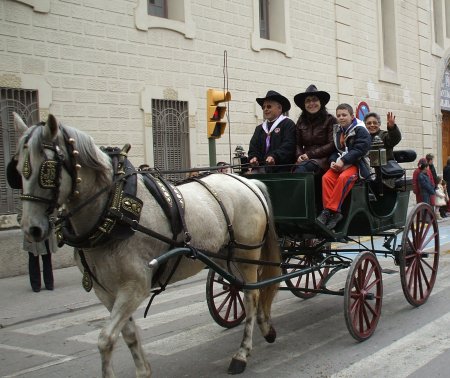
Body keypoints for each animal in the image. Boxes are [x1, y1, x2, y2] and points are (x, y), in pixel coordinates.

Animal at [13, 113, 282, 378]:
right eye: (17, 169)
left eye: (47, 170)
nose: (31, 228)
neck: (114, 208)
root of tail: (248, 183)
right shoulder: (105, 291)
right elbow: (128, 334)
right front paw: (143, 371)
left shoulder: (135, 286)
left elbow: (105, 339)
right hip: (225, 255)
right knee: (244, 289)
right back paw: (265, 327)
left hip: (247, 252)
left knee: (252, 295)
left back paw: (242, 353)